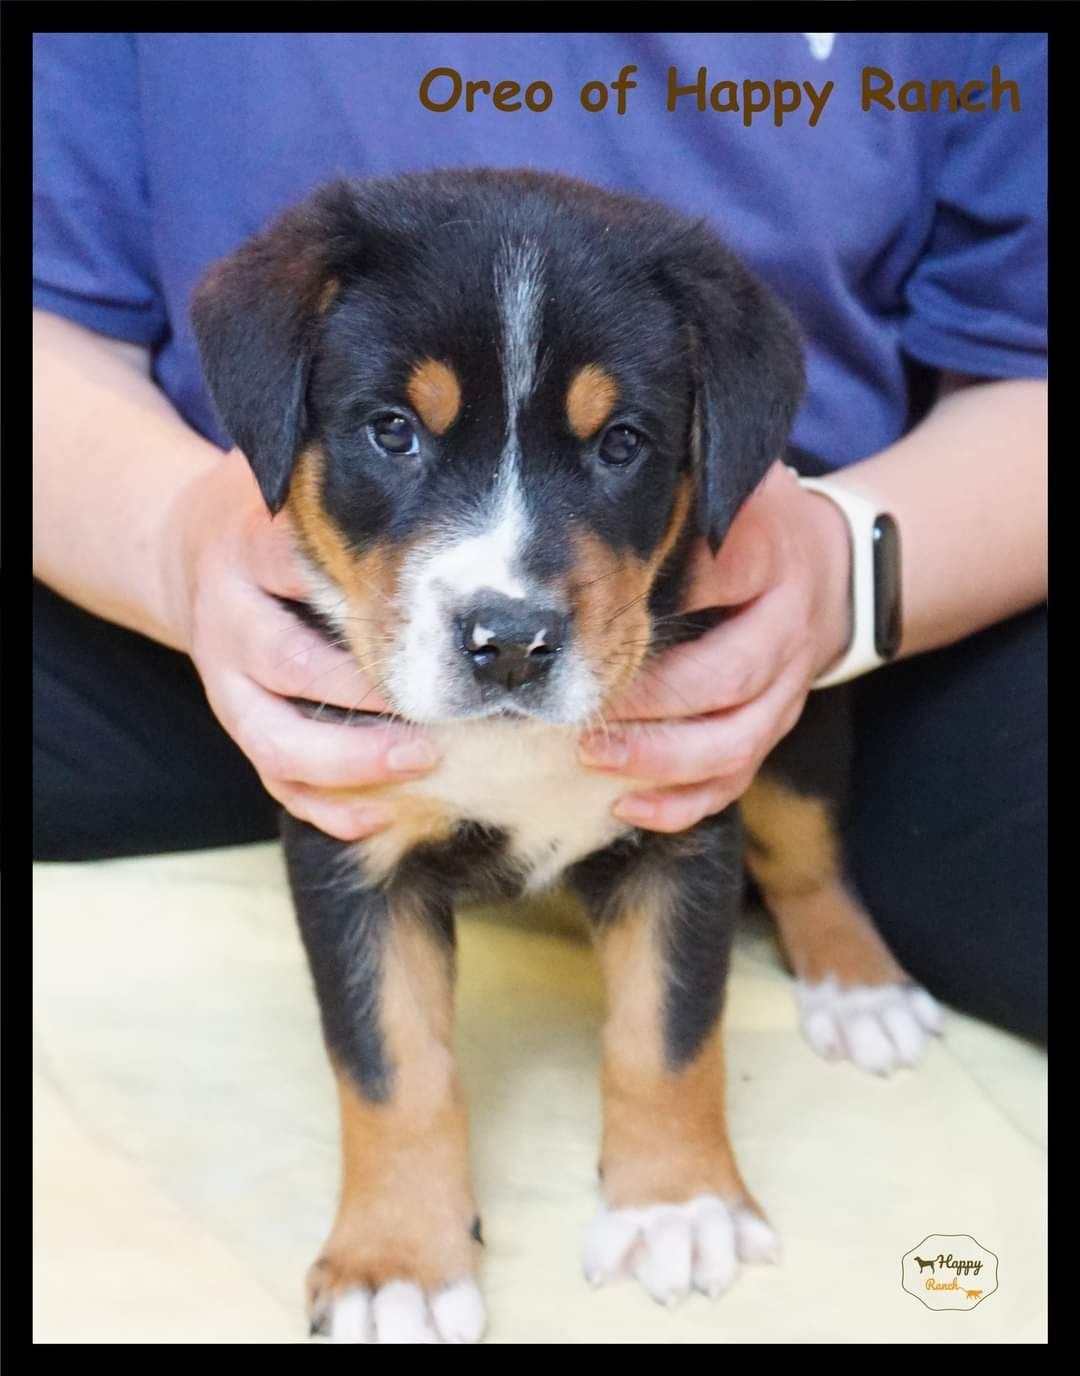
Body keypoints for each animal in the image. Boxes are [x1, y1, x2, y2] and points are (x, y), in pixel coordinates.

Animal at [189, 169, 941, 1342]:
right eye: (392, 431)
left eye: (622, 443)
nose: (508, 639)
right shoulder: (345, 840)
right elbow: (391, 1064)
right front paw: (393, 1264)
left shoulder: (685, 827)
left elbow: (668, 1033)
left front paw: (676, 1205)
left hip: (800, 732)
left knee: (809, 851)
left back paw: (862, 991)